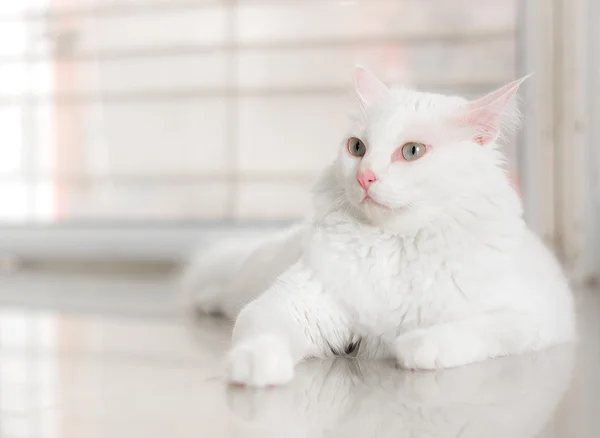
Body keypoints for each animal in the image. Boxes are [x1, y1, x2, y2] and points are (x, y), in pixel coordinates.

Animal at [186, 66, 576, 386]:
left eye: (413, 151)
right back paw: (206, 302)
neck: (395, 243)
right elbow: (262, 335)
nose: (364, 177)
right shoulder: (294, 303)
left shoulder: (531, 317)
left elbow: (472, 330)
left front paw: (414, 346)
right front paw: (254, 367)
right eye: (357, 147)